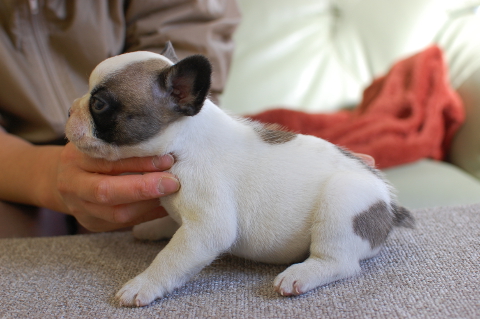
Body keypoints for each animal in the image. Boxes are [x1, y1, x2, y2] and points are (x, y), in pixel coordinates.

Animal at [65, 44, 414, 308]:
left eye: (99, 104)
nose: (69, 109)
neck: (184, 139)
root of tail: (388, 205)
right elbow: (172, 223)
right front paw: (155, 226)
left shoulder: (206, 227)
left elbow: (171, 259)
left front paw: (143, 285)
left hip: (343, 203)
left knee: (338, 261)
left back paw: (300, 275)